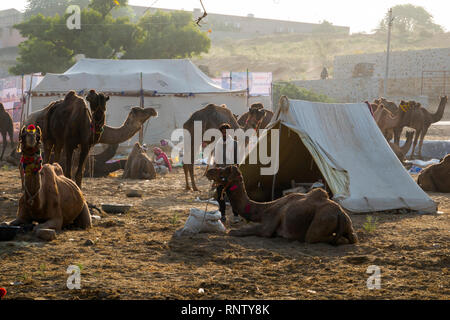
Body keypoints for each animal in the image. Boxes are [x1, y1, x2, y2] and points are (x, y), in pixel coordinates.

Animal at [206, 165, 356, 245]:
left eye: (223, 171)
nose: (208, 171)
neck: (263, 209)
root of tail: (340, 214)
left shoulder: (268, 225)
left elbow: (235, 231)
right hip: (348, 225)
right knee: (353, 237)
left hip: (321, 221)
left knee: (316, 237)